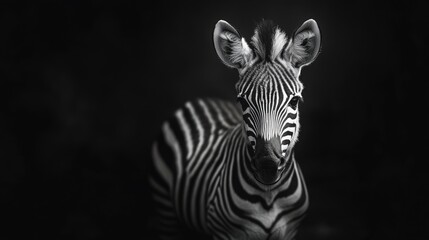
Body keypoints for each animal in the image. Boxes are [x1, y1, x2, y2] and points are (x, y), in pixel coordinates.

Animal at [149, 19, 320, 240]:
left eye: (294, 101)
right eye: (242, 102)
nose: (267, 165)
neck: (269, 196)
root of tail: (205, 100)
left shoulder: (288, 231)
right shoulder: (225, 232)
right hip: (165, 210)